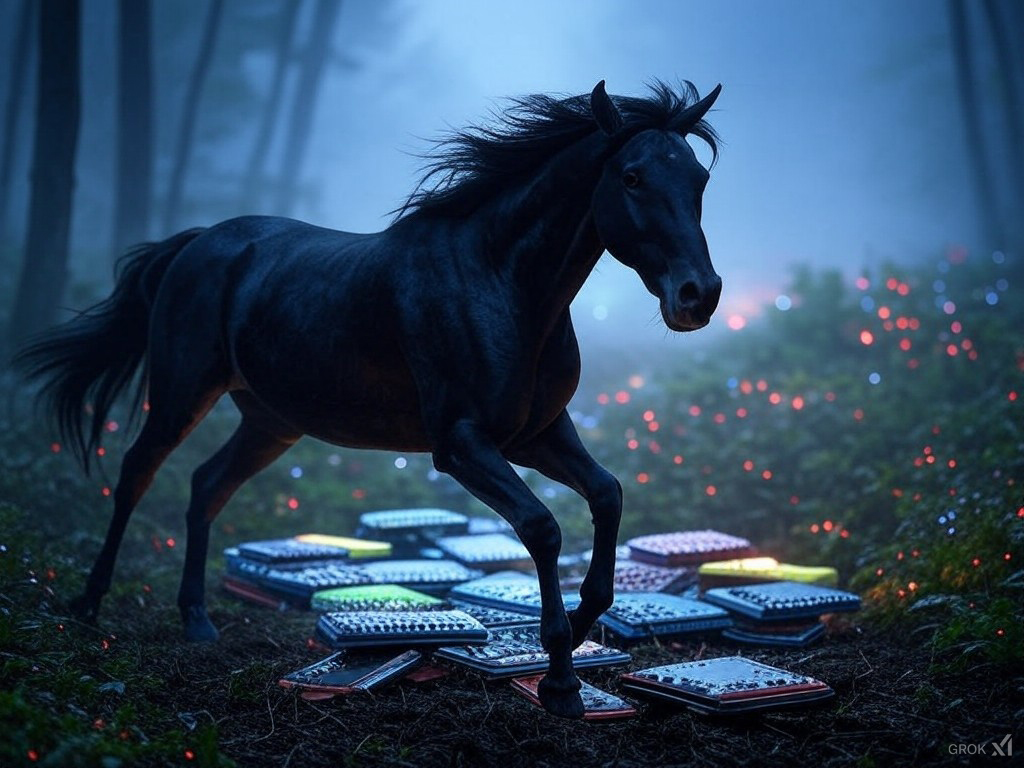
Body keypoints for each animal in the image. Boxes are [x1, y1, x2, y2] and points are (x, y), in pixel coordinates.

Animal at [14, 80, 722, 718]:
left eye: (698, 181)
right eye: (631, 177)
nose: (699, 295)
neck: (502, 282)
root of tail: (199, 242)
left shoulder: (539, 434)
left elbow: (607, 495)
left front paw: (575, 632)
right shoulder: (462, 445)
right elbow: (543, 528)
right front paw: (559, 679)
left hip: (271, 423)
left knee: (206, 485)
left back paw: (196, 618)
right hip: (182, 392)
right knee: (137, 472)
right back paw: (89, 602)